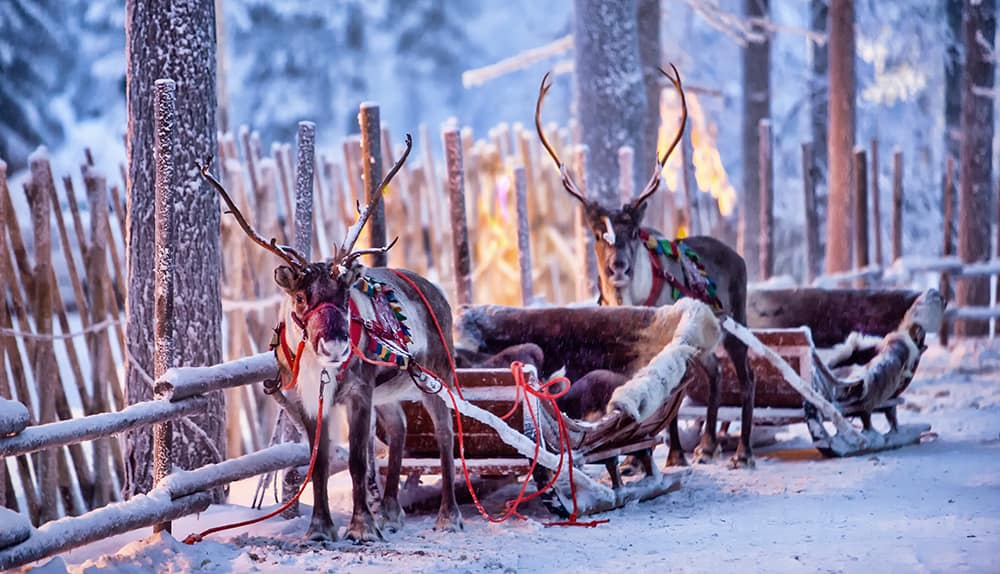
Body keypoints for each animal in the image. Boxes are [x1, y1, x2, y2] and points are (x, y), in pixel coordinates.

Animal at [200, 133, 463, 543]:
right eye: (300, 297)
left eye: (344, 294)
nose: (336, 346)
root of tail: (435, 290)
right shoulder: (308, 400)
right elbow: (319, 464)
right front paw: (320, 528)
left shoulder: (359, 392)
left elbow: (356, 461)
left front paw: (361, 527)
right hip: (388, 390)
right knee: (400, 426)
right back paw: (391, 512)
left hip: (435, 376)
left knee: (445, 433)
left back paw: (448, 515)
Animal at [535, 64, 757, 469]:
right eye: (596, 233)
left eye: (633, 232)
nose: (618, 267)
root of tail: (736, 255)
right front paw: (635, 459)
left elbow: (667, 402)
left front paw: (672, 456)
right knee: (716, 373)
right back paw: (707, 445)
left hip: (736, 324)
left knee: (746, 377)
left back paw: (741, 451)